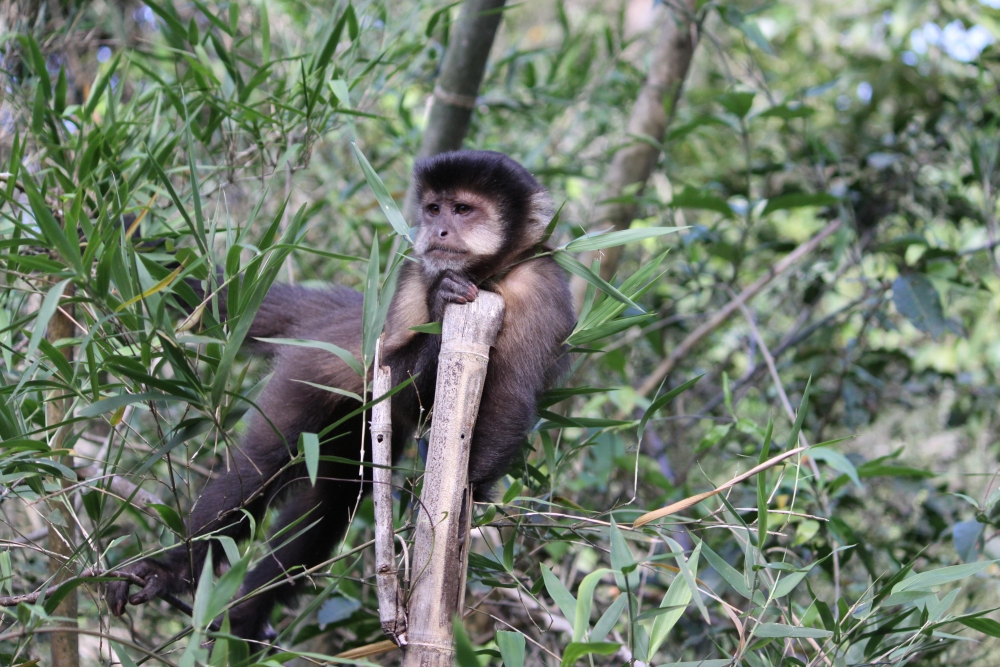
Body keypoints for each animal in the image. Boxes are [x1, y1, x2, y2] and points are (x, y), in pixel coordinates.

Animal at [105, 153, 576, 648]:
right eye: (433, 209)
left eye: (462, 210)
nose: (438, 230)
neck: (487, 275)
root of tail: (332, 320)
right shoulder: (413, 273)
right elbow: (388, 377)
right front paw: (440, 302)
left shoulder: (541, 288)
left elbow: (510, 400)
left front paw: (461, 507)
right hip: (308, 375)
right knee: (263, 466)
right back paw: (171, 572)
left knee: (331, 501)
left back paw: (247, 616)